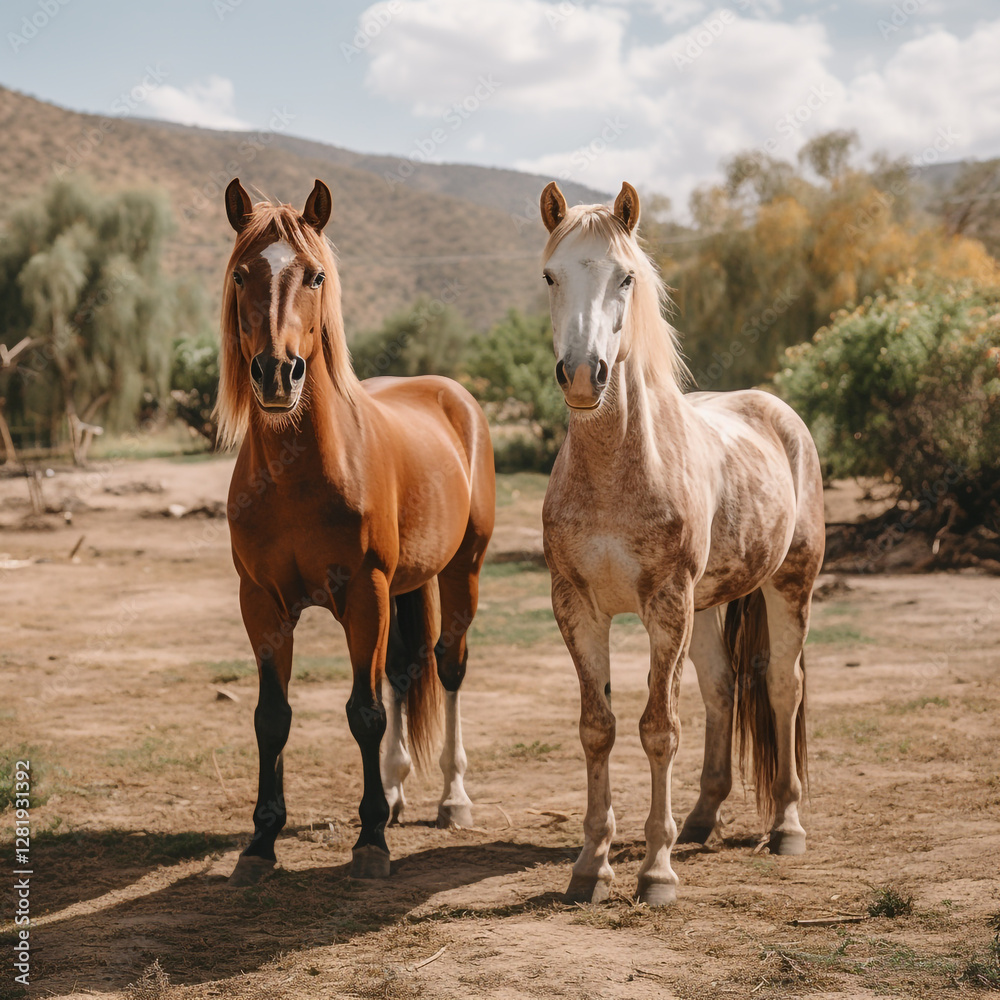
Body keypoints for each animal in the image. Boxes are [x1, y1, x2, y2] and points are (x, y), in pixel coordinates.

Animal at [217, 178, 495, 885]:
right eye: (242, 273)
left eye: (315, 274)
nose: (276, 373)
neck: (300, 474)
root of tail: (453, 395)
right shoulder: (261, 603)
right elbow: (272, 718)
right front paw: (260, 843)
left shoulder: (364, 595)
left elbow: (364, 713)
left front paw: (370, 843)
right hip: (403, 588)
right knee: (401, 673)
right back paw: (394, 792)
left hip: (462, 571)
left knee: (447, 668)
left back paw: (452, 798)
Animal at [538, 181, 824, 905]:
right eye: (551, 275)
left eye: (626, 277)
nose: (582, 375)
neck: (617, 467)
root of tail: (776, 412)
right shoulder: (577, 607)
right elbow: (599, 728)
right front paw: (592, 864)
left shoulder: (664, 605)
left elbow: (658, 729)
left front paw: (656, 871)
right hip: (707, 606)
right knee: (722, 689)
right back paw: (699, 818)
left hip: (789, 586)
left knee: (782, 686)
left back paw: (786, 826)